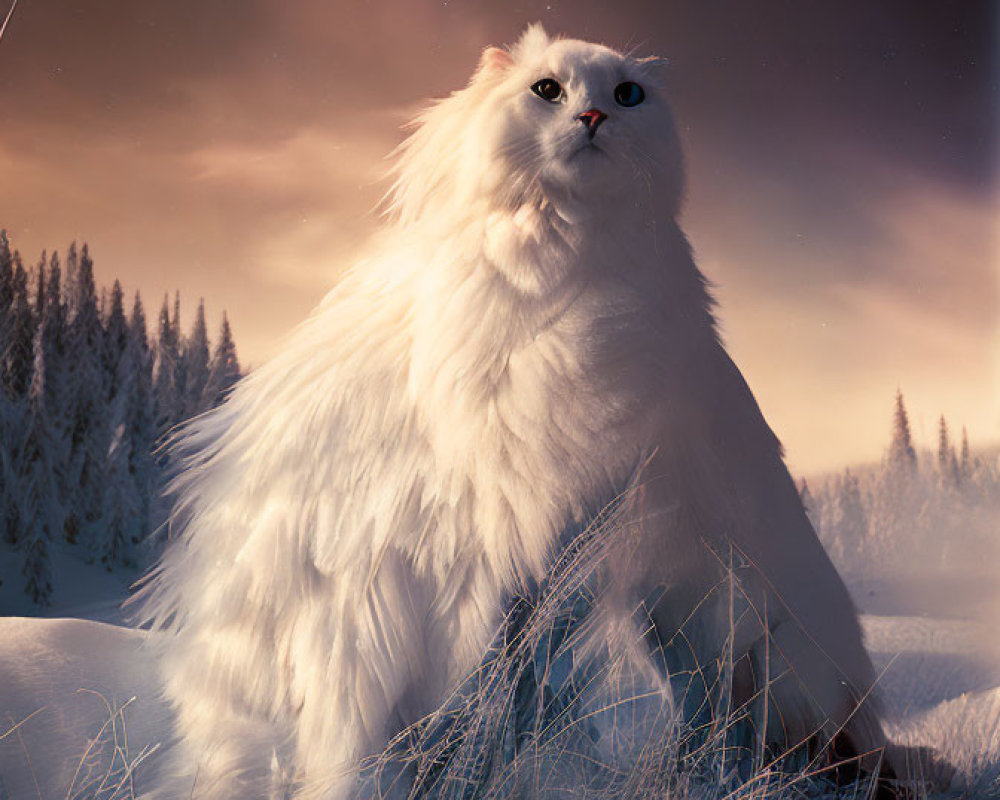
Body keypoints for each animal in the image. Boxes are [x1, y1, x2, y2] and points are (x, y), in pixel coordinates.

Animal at [137, 25, 896, 800]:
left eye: (629, 93)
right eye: (547, 90)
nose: (593, 116)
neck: (563, 259)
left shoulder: (571, 536)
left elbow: (519, 689)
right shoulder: (510, 548)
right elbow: (496, 689)